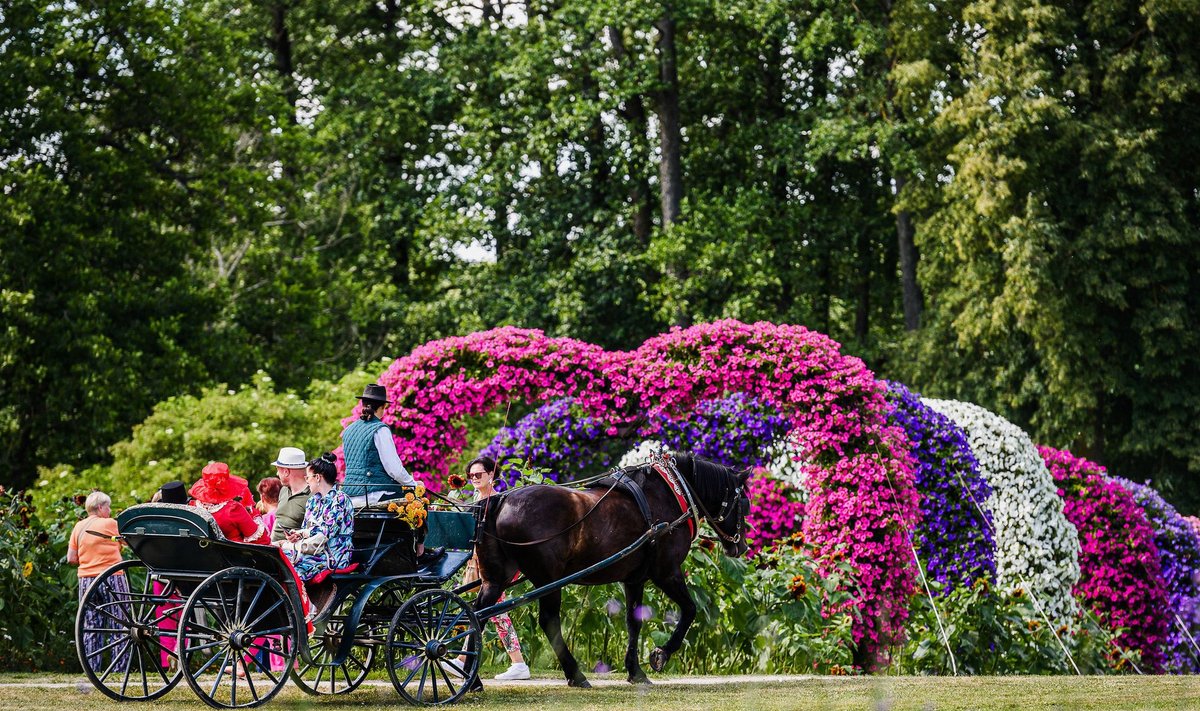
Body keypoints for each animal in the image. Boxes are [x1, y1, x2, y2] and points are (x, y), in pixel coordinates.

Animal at [470, 451, 744, 686]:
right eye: (742, 500)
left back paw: (473, 680)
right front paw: (661, 654)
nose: (739, 546)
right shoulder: (667, 573)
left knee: (477, 614)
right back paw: (575, 674)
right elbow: (689, 610)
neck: (671, 491)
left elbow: (634, 623)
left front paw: (635, 671)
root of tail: (501, 500)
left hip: (496, 579)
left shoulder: (634, 579)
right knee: (548, 621)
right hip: (548, 580)